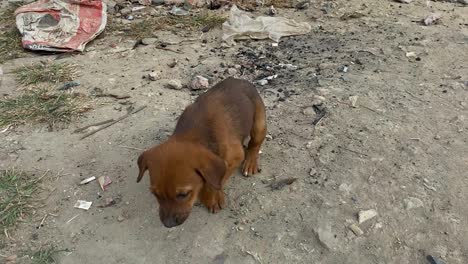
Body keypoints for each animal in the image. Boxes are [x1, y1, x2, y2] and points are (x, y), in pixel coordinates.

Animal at [137, 77, 266, 228]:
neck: (196, 132)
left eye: (183, 195)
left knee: (254, 144)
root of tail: (239, 79)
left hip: (259, 124)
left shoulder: (234, 157)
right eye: (155, 194)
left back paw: (250, 162)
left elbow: (215, 181)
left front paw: (211, 197)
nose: (168, 224)